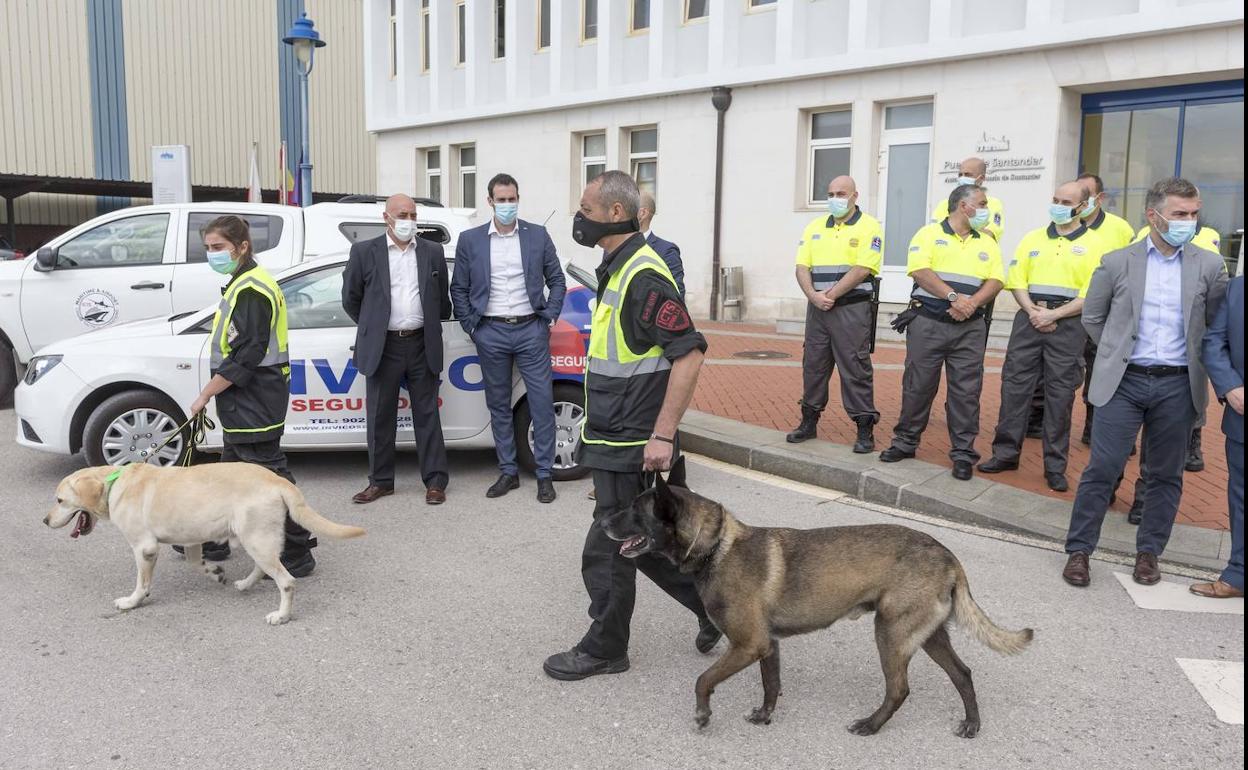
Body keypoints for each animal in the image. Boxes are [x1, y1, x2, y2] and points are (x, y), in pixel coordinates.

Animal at [45, 461, 364, 623]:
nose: (45, 521)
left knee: (286, 581)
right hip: (254, 538)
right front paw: (215, 572)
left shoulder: (144, 548)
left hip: (255, 538)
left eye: (59, 500)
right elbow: (194, 562)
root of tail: (277, 480)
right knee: (265, 568)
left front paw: (132, 602)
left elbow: (142, 583)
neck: (113, 482)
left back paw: (282, 615)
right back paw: (245, 584)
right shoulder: (191, 538)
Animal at [601, 459, 1033, 733]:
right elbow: (771, 685)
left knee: (899, 689)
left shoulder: (748, 645)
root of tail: (947, 555)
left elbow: (703, 680)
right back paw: (973, 723)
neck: (716, 545)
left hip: (891, 634)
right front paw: (764, 716)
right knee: (963, 674)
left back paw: (871, 725)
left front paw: (703, 715)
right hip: (928, 636)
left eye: (635, 509)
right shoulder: (767, 646)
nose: (602, 520)